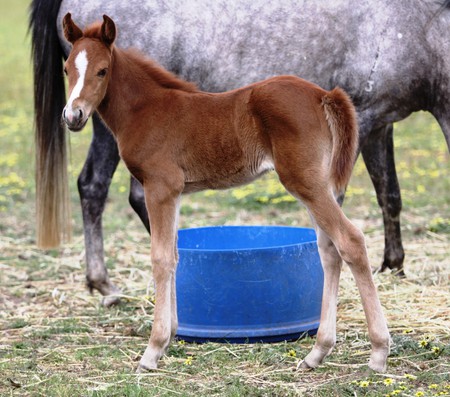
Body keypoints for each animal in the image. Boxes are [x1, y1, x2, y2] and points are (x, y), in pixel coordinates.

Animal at [60, 13, 390, 372]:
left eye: (102, 70)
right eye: (66, 68)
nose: (73, 115)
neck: (146, 109)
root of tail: (322, 94)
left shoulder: (160, 186)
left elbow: (161, 258)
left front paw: (153, 350)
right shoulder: (174, 192)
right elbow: (175, 255)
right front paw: (169, 336)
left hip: (306, 182)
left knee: (350, 241)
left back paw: (378, 351)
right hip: (317, 184)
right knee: (329, 250)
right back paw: (317, 352)